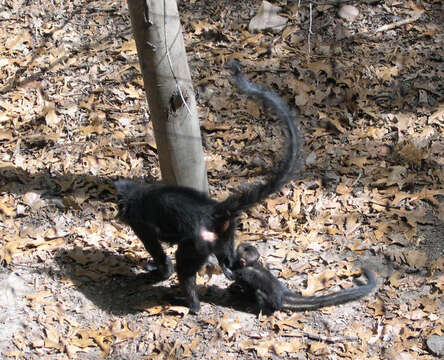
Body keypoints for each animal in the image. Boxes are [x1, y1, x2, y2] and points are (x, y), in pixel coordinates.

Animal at [113, 61, 306, 312]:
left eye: (119, 206)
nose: (116, 212)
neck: (137, 194)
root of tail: (213, 209)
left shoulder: (137, 219)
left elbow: (157, 251)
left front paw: (159, 272)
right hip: (225, 232)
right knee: (230, 260)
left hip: (200, 241)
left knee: (185, 267)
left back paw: (191, 304)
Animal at [227, 243, 376, 314]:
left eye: (239, 249)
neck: (253, 265)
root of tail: (282, 294)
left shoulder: (243, 272)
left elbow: (234, 276)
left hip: (271, 300)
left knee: (258, 293)